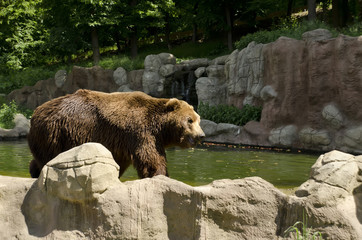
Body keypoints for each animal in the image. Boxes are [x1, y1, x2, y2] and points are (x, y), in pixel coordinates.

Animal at [27, 89, 205, 178]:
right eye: (189, 120)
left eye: (198, 119)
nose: (201, 136)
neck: (160, 128)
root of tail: (35, 113)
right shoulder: (140, 131)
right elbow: (150, 158)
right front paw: (159, 175)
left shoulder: (120, 143)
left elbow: (119, 161)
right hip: (55, 132)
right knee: (49, 157)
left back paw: (33, 171)